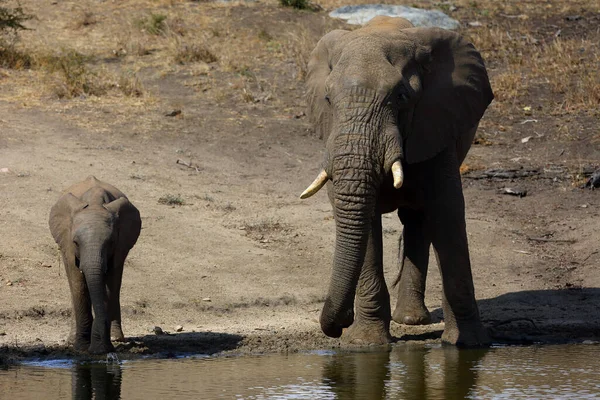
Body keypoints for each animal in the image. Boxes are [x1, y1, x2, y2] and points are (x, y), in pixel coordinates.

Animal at [49, 175, 142, 354]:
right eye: (76, 242)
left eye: (110, 242)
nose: (100, 349)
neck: (94, 202)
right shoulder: (68, 245)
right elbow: (78, 283)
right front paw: (82, 347)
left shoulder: (120, 244)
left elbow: (109, 284)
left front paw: (102, 346)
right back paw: (72, 340)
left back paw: (115, 338)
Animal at [300, 16, 492, 346]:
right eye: (327, 99)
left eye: (401, 97)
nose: (339, 324)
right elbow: (363, 219)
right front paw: (365, 344)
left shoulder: (435, 123)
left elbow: (447, 212)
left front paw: (467, 346)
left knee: (418, 218)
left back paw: (411, 320)